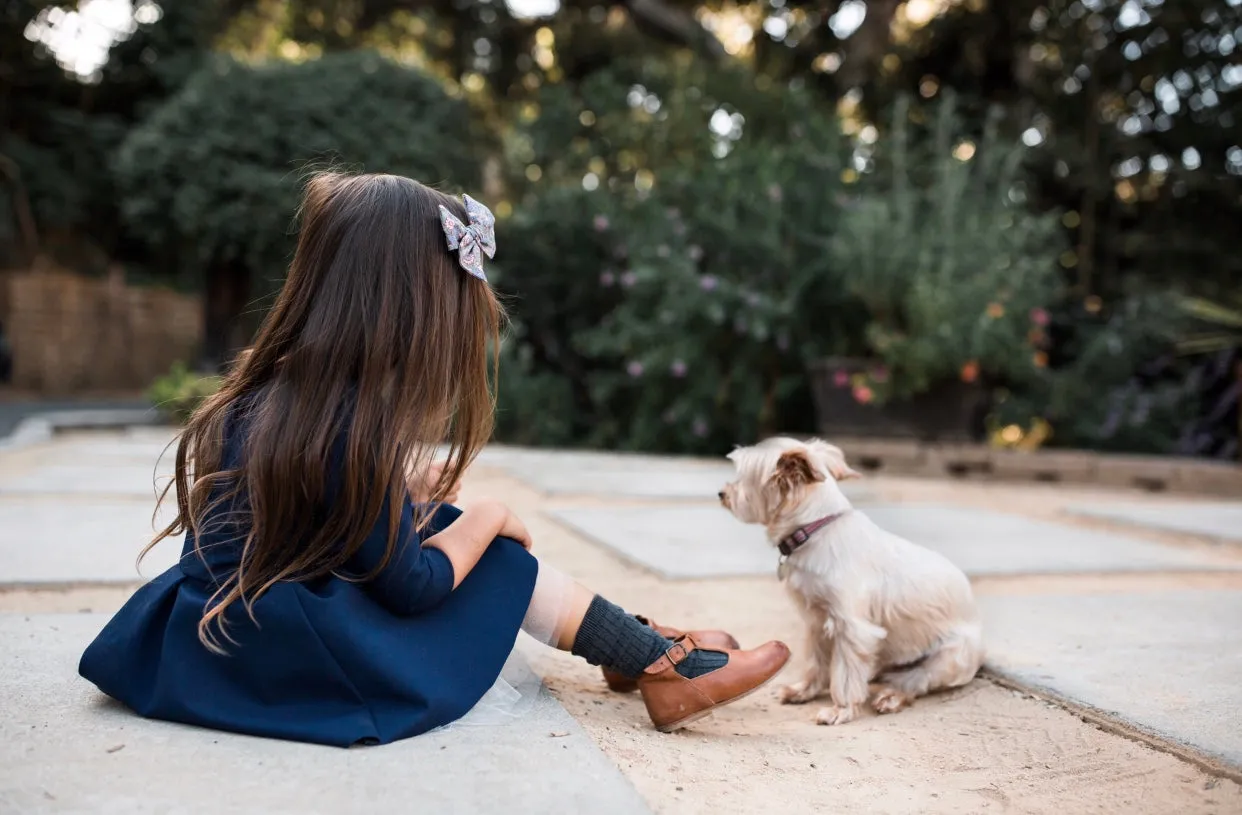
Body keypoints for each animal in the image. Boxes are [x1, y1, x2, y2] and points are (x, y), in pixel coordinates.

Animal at [720, 439, 978, 725]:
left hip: (946, 659)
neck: (814, 528)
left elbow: (844, 676)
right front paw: (803, 691)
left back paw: (891, 697)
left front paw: (840, 710)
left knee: (914, 683)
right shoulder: (818, 623)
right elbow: (816, 663)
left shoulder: (851, 629)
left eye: (743, 476)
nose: (722, 493)